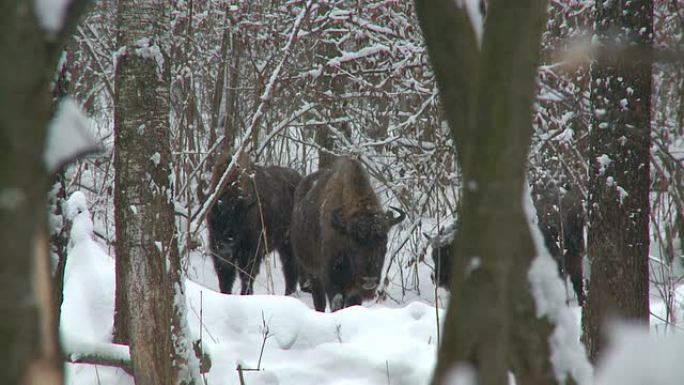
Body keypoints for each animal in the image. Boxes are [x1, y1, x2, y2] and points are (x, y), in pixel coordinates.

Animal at [206, 156, 302, 294]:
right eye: (213, 218)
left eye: (239, 218)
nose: (225, 248)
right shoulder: (217, 251)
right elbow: (225, 280)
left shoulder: (251, 251)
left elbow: (246, 276)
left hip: (288, 244)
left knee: (290, 269)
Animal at [290, 158, 406, 310]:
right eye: (354, 244)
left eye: (384, 243)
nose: (369, 280)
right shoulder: (331, 281)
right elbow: (336, 302)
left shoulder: (355, 291)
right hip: (312, 273)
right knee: (319, 301)